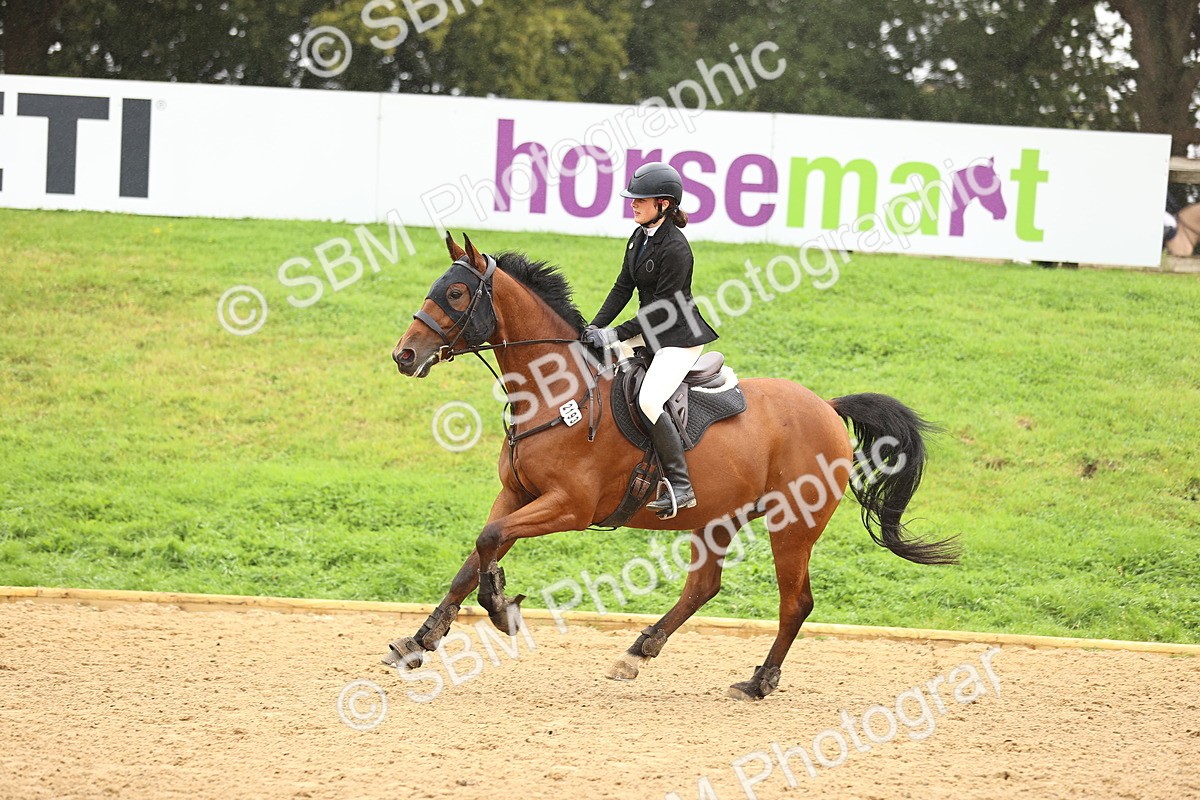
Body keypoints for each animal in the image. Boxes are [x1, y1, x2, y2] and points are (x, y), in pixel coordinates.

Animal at [388, 232, 959, 700]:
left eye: (456, 294)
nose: (404, 355)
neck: (556, 393)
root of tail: (827, 407)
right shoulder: (518, 495)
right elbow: (476, 553)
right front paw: (421, 640)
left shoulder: (569, 507)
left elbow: (488, 542)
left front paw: (501, 607)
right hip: (719, 517)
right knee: (703, 587)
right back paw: (637, 653)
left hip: (792, 525)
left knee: (795, 603)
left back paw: (758, 681)